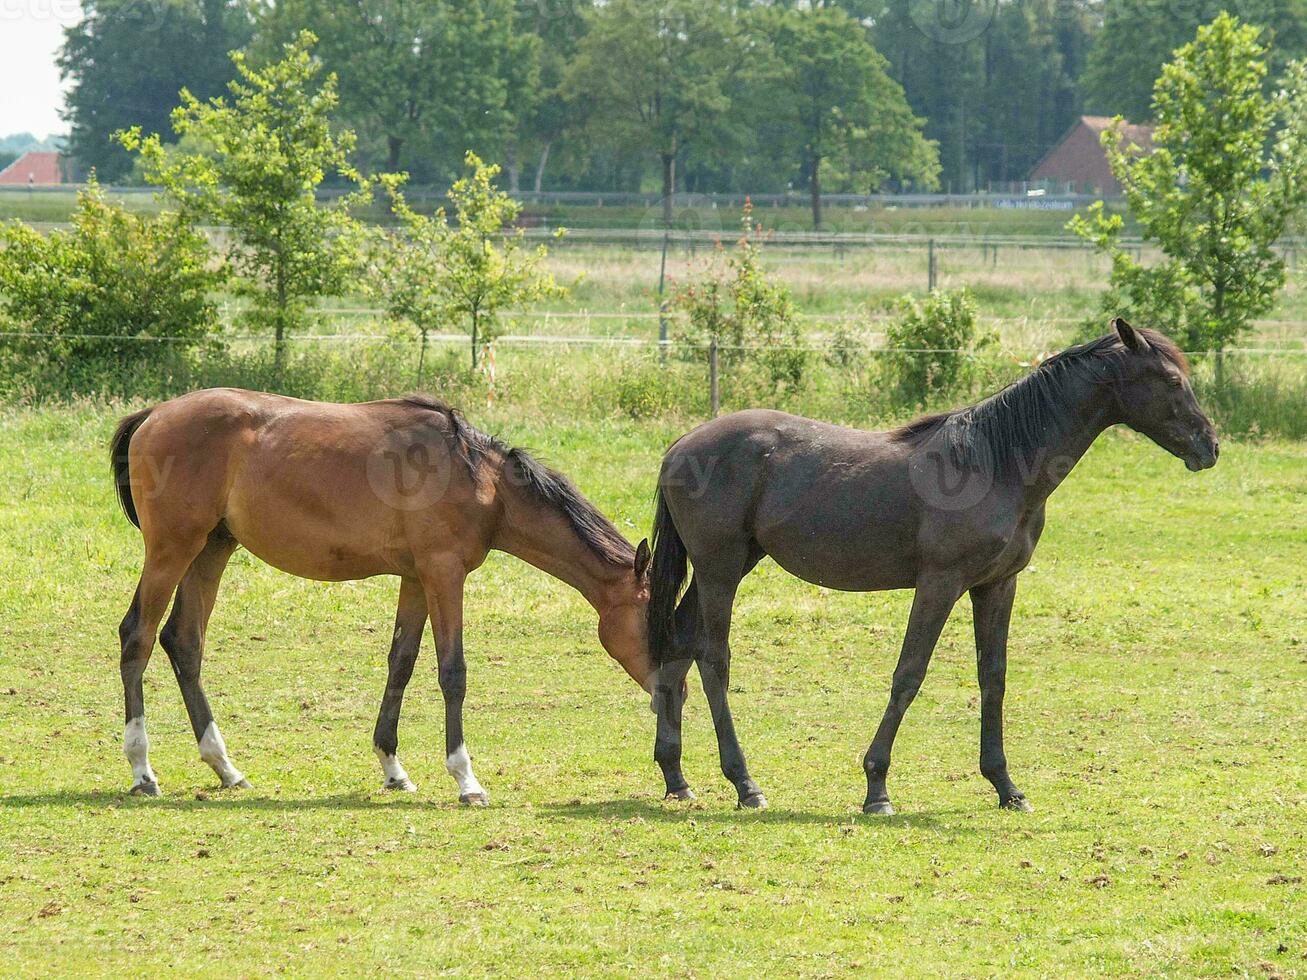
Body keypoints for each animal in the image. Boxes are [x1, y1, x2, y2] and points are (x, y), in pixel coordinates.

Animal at [109, 391, 650, 804]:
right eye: (654, 617)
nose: (666, 690)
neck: (480, 479)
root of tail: (153, 415)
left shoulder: (416, 580)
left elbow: (401, 664)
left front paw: (394, 768)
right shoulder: (444, 574)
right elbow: (452, 672)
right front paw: (466, 779)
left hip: (211, 549)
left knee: (184, 642)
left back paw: (226, 768)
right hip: (172, 549)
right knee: (138, 636)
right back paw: (142, 771)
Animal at [648, 320, 1218, 815]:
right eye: (1172, 380)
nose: (1209, 446)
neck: (995, 461)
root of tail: (681, 446)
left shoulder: (996, 585)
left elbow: (993, 676)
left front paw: (1006, 785)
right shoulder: (940, 584)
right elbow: (909, 674)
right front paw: (877, 787)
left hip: (726, 569)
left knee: (677, 649)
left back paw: (676, 777)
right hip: (721, 572)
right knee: (712, 661)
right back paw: (746, 784)